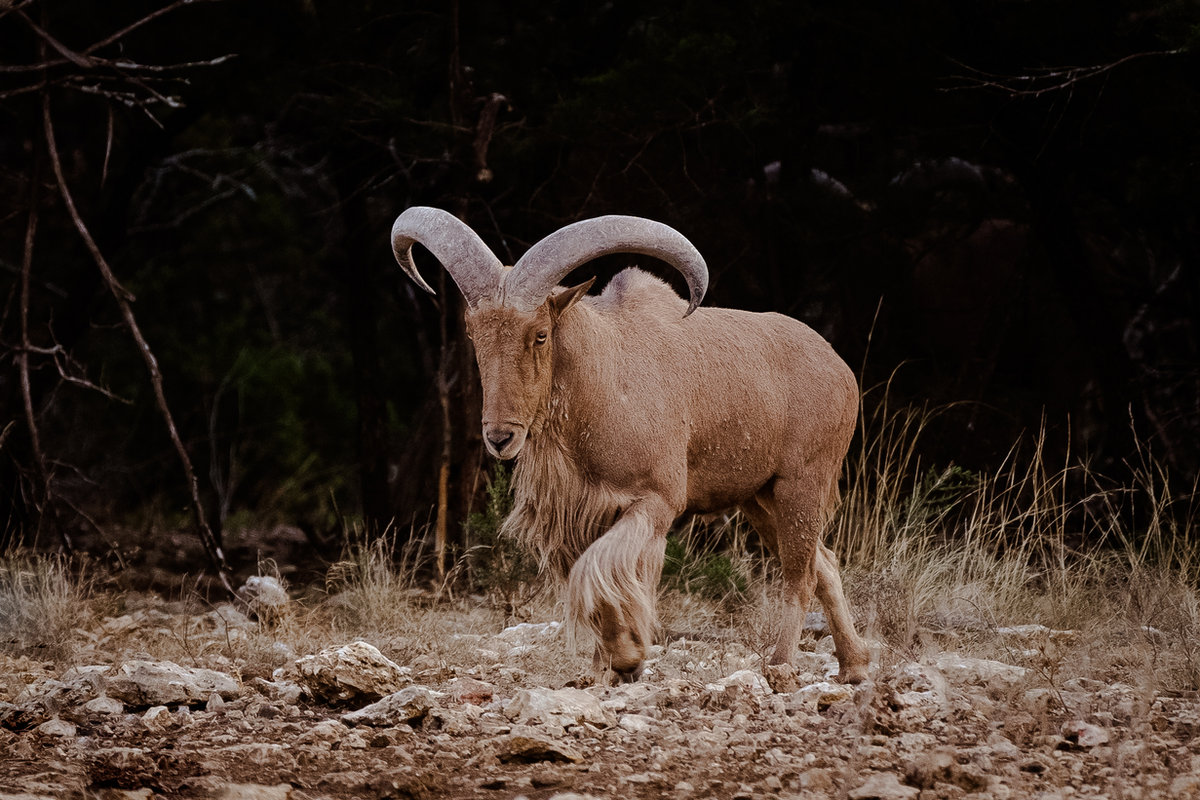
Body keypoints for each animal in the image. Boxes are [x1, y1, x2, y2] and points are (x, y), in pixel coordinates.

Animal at [391, 206, 870, 684]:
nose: (500, 437)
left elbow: (602, 571)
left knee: (799, 576)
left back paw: (781, 665)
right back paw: (855, 665)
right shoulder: (577, 515)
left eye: (540, 333)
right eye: (475, 334)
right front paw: (606, 666)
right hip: (760, 497)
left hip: (801, 483)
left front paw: (629, 655)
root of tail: (840, 368)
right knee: (823, 563)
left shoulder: (654, 501)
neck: (604, 381)